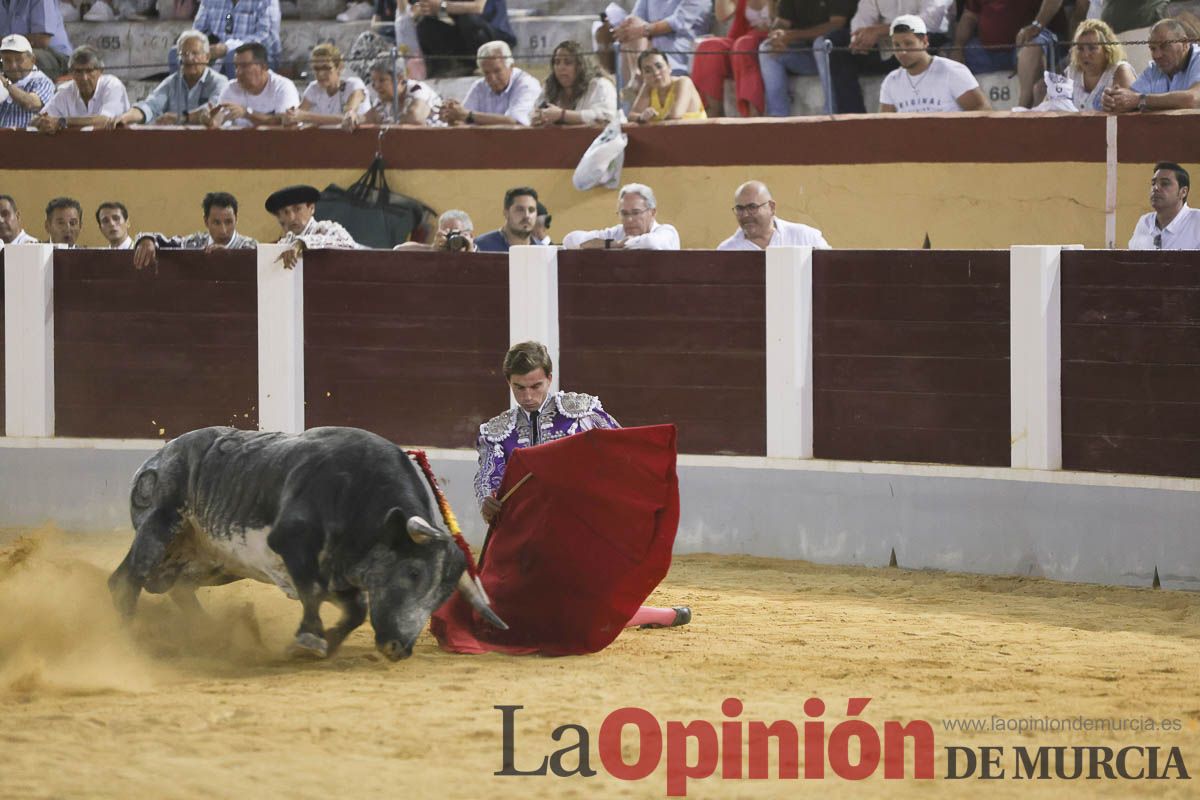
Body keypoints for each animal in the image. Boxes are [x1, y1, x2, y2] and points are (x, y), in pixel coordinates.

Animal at [108, 429, 506, 662]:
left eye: (442, 596)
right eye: (412, 571)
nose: (399, 649)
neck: (361, 499)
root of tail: (157, 456)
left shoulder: (340, 573)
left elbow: (355, 610)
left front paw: (318, 642)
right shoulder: (291, 543)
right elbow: (313, 592)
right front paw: (310, 639)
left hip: (214, 563)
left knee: (176, 587)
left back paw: (205, 634)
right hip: (160, 524)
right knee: (126, 580)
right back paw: (126, 641)